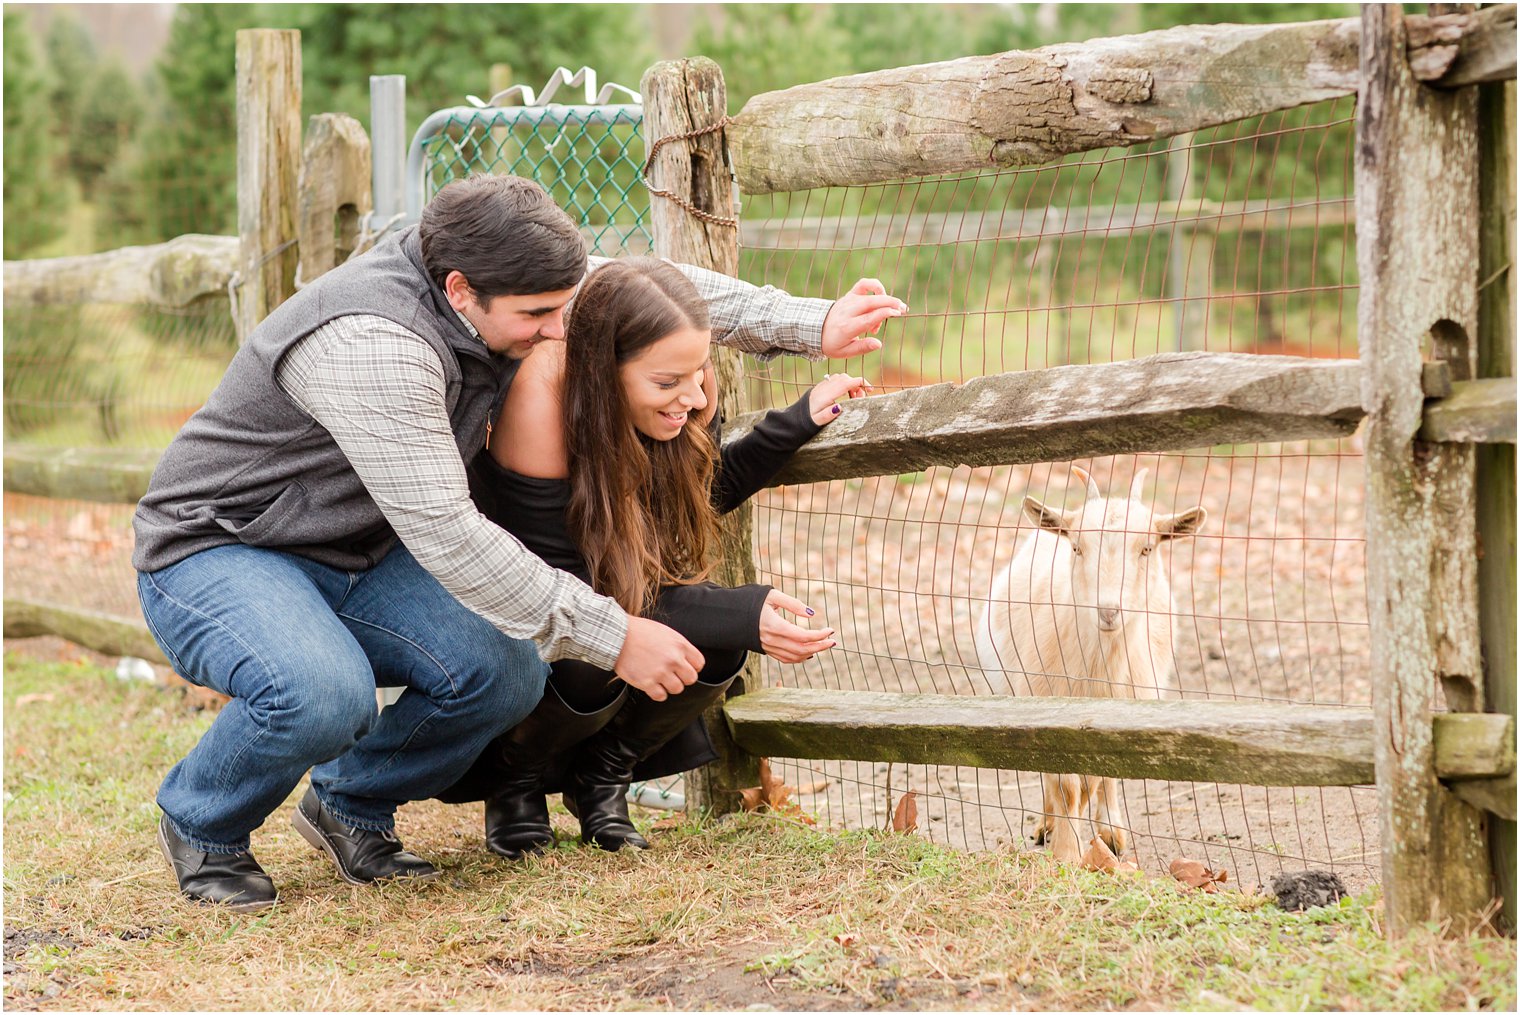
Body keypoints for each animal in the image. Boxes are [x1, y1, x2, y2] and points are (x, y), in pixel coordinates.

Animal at [978, 467, 1203, 863]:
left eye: (1147, 548)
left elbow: (1095, 777)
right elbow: (1064, 784)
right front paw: (1066, 851)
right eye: (1077, 547)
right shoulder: (1041, 700)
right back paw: (1047, 824)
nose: (1108, 611)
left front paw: (1095, 838)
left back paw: (1110, 832)